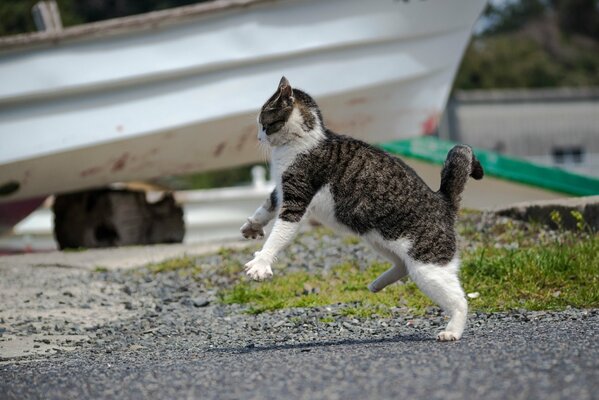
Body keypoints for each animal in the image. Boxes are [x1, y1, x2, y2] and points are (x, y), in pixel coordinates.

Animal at [239, 77, 482, 340]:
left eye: (263, 122)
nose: (259, 137)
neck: (304, 140)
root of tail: (444, 201)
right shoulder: (281, 191)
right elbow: (267, 206)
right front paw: (252, 226)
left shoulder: (296, 199)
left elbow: (278, 235)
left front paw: (261, 263)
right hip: (379, 239)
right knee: (402, 266)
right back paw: (377, 283)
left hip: (428, 267)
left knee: (460, 300)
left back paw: (452, 331)